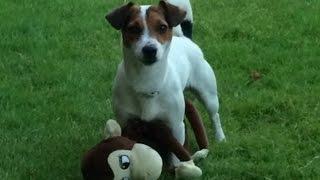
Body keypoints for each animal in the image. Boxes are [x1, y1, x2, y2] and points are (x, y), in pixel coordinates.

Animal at [106, 0, 226, 165]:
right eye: (133, 28)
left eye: (162, 27)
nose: (150, 50)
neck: (147, 79)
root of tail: (186, 39)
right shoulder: (125, 122)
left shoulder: (175, 126)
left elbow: (176, 151)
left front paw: (179, 167)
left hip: (208, 94)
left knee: (215, 116)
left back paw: (220, 138)